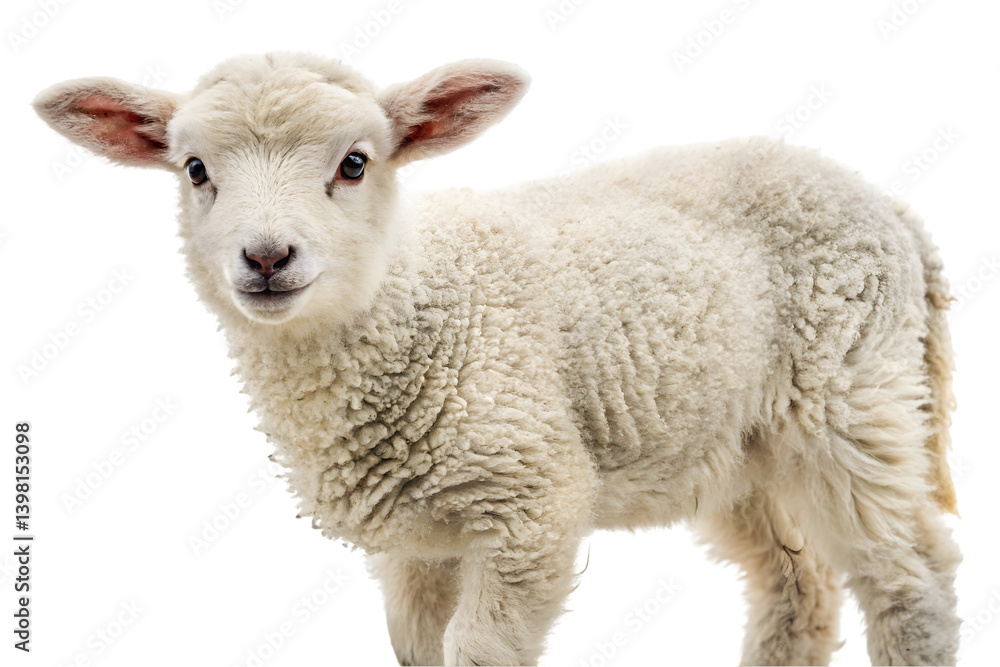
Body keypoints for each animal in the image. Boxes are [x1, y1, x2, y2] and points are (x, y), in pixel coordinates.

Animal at [33, 51, 961, 666]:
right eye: (194, 169)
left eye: (355, 163)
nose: (266, 257)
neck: (417, 298)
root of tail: (891, 208)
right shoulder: (416, 542)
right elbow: (417, 646)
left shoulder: (531, 502)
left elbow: (478, 649)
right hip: (736, 444)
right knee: (796, 587)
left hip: (853, 394)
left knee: (909, 576)